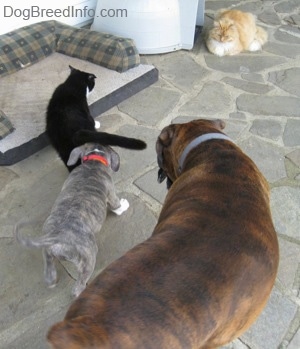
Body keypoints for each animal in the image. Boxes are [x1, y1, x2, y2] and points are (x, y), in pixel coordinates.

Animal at [14, 143, 129, 294]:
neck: (94, 160)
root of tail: (55, 238)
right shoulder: (111, 194)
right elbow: (116, 205)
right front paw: (124, 205)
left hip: (47, 253)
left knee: (49, 275)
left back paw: (52, 281)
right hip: (88, 257)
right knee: (78, 286)